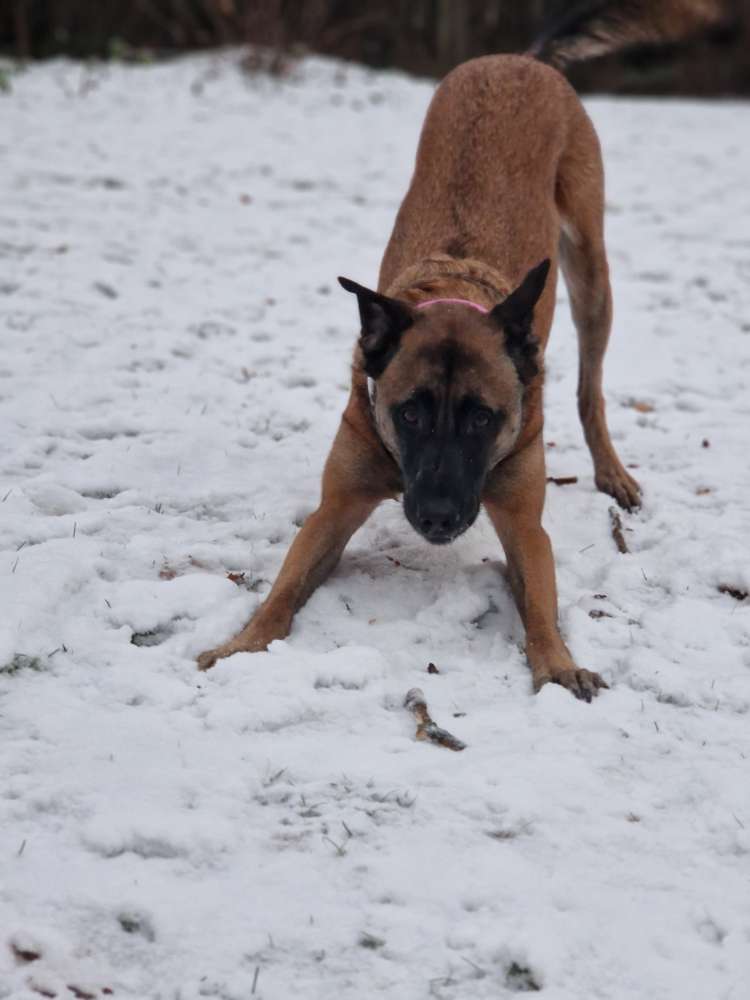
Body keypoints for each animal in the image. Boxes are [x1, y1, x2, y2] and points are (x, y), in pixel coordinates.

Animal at [197, 0, 732, 700]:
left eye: (484, 418)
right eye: (409, 412)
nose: (439, 519)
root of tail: (520, 60)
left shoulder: (524, 520)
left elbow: (539, 604)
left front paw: (558, 664)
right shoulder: (337, 505)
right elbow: (283, 590)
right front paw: (240, 645)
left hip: (591, 271)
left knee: (590, 385)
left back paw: (612, 471)